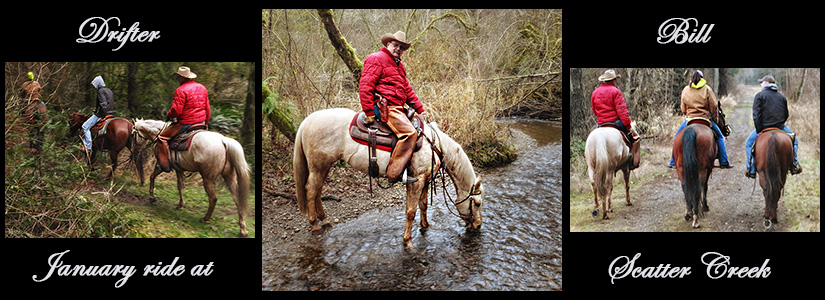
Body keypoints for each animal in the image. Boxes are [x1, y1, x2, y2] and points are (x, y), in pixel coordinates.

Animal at [292, 108, 482, 248]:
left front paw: (426, 226)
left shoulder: (425, 179)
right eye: (478, 203)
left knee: (317, 191)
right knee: (311, 190)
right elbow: (411, 211)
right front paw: (408, 242)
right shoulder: (417, 180)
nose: (478, 226)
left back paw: (325, 221)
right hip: (318, 166)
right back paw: (315, 225)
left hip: (324, 166)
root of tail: (306, 121)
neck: (434, 145)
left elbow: (423, 205)